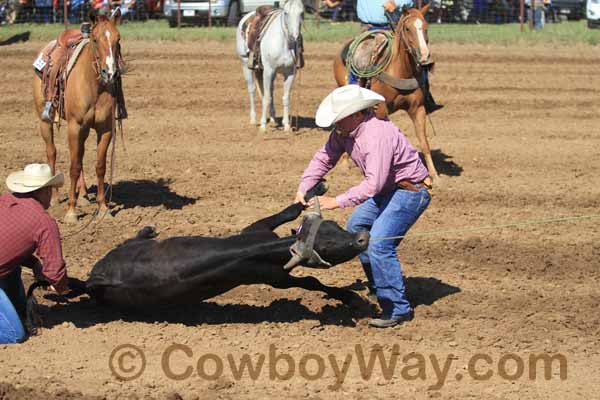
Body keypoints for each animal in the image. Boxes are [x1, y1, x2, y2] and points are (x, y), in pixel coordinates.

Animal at [32, 9, 124, 223]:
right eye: (95, 40)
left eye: (118, 39)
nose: (110, 73)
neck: (94, 85)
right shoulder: (76, 126)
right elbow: (73, 166)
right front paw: (71, 212)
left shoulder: (105, 129)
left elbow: (100, 166)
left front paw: (103, 208)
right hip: (44, 120)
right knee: (52, 152)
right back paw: (56, 198)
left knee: (80, 156)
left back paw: (83, 195)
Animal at [236, 0, 304, 133]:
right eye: (286, 13)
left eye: (301, 13)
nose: (295, 37)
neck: (284, 43)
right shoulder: (268, 71)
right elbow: (266, 97)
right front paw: (263, 126)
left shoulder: (290, 73)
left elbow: (285, 98)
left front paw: (287, 125)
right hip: (246, 64)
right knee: (252, 90)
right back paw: (253, 119)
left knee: (270, 91)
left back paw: (273, 118)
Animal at [332, 2, 440, 181]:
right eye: (408, 29)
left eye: (425, 27)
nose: (425, 56)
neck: (400, 70)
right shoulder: (382, 109)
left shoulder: (418, 109)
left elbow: (424, 142)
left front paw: (434, 175)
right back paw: (344, 164)